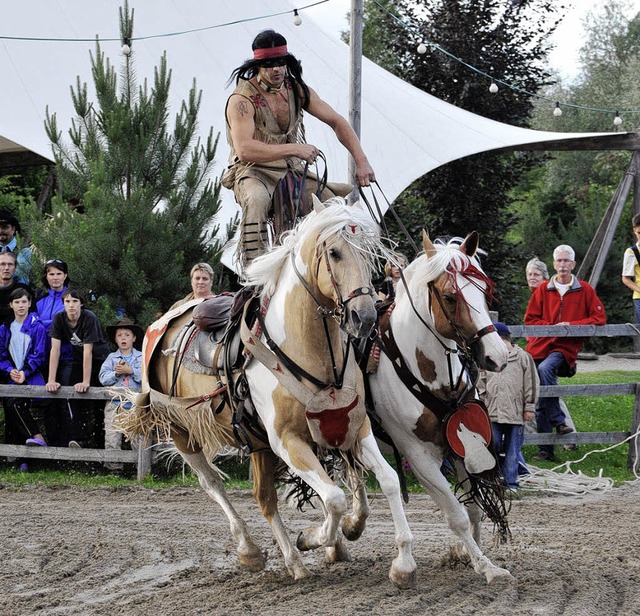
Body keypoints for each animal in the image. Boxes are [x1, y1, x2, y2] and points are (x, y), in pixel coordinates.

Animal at [368, 230, 512, 584]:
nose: (498, 356)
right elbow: (456, 514)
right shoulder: (419, 455)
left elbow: (473, 508)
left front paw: (469, 554)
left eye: (483, 291)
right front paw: (485, 566)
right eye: (450, 297)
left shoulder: (463, 444)